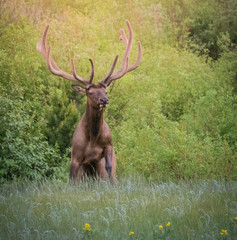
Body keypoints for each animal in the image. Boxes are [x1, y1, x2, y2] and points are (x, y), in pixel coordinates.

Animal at [36, 20, 142, 184]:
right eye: (90, 92)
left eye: (105, 91)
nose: (105, 100)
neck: (92, 140)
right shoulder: (75, 155)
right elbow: (71, 178)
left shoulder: (109, 145)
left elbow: (109, 167)